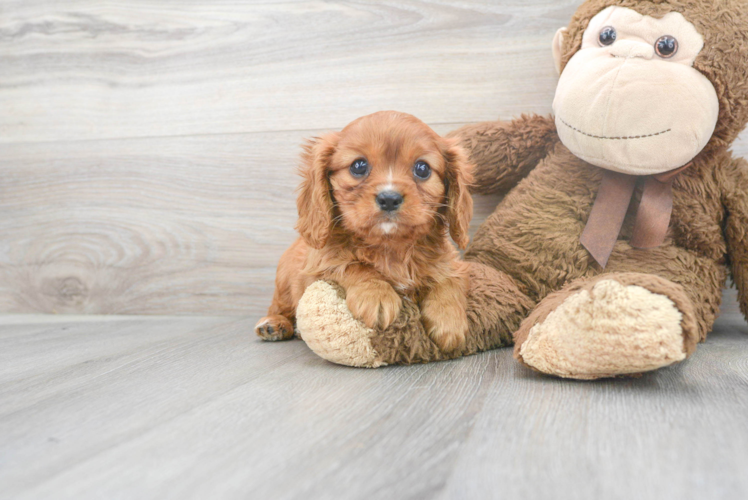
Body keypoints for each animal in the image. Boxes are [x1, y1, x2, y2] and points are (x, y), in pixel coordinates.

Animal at [253, 109, 474, 352]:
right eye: (358, 166)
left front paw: (449, 321)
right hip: (284, 282)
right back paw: (274, 324)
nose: (389, 198)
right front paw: (376, 295)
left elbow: (447, 280)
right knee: (280, 306)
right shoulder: (319, 269)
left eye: (422, 168)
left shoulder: (452, 263)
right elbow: (354, 266)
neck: (390, 247)